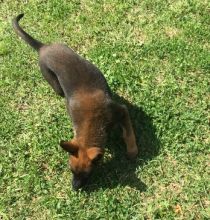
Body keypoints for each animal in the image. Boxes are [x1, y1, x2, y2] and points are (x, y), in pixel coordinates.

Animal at [12, 13, 139, 190]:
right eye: (71, 170)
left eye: (87, 174)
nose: (75, 188)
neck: (92, 123)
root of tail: (43, 47)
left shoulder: (121, 111)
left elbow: (128, 133)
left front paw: (132, 150)